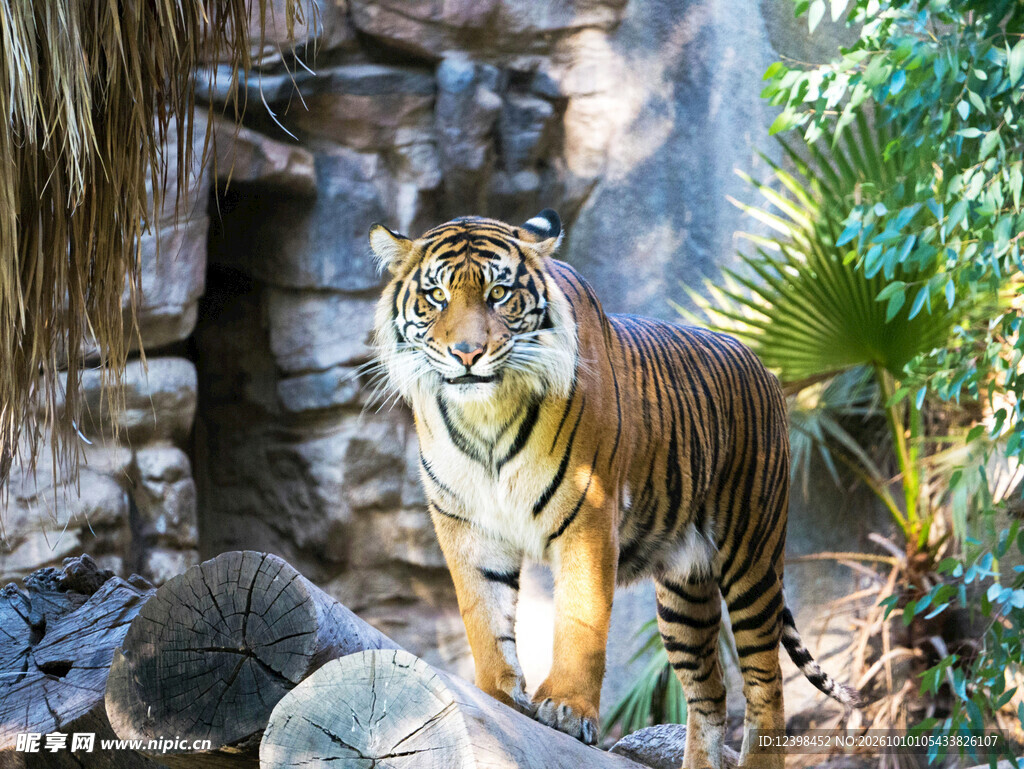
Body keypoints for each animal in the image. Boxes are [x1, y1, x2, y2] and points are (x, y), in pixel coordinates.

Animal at [369, 209, 859, 769]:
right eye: (436, 296)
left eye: (498, 293)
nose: (467, 353)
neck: (485, 414)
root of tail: (766, 369)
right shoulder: (466, 524)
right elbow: (483, 616)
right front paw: (497, 699)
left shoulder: (588, 512)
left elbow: (580, 619)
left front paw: (565, 708)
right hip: (684, 594)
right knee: (710, 693)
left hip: (751, 557)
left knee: (765, 683)